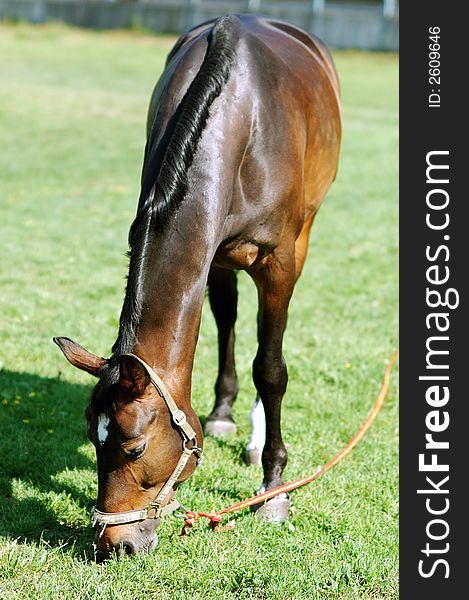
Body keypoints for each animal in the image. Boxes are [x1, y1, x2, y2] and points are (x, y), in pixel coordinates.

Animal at [54, 14, 340, 556]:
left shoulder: (278, 261)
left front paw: (274, 489)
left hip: (304, 234)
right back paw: (224, 412)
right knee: (228, 316)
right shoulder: (208, 253)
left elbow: (271, 368)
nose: (115, 544)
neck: (242, 118)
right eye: (92, 439)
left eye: (134, 447)